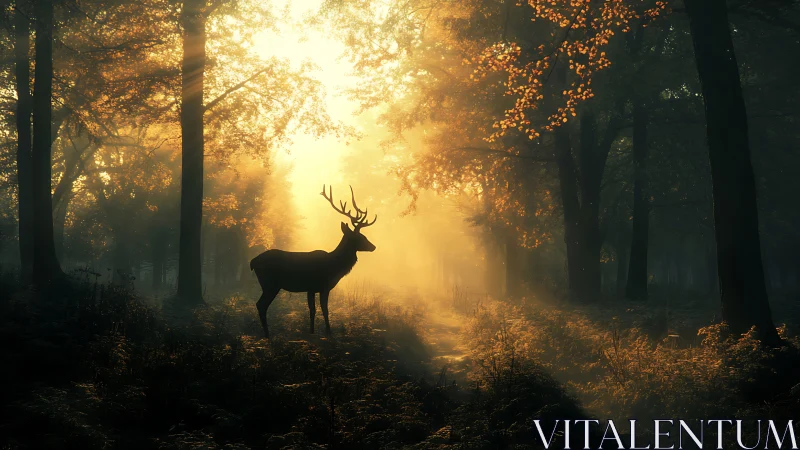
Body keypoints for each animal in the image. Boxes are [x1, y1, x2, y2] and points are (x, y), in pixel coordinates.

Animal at [249, 185, 377, 338]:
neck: (334, 267)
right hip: (270, 283)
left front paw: (311, 332)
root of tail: (253, 262)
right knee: (261, 305)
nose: (373, 246)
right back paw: (267, 335)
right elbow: (324, 309)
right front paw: (329, 333)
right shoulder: (321, 286)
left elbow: (312, 310)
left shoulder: (311, 289)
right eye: (360, 237)